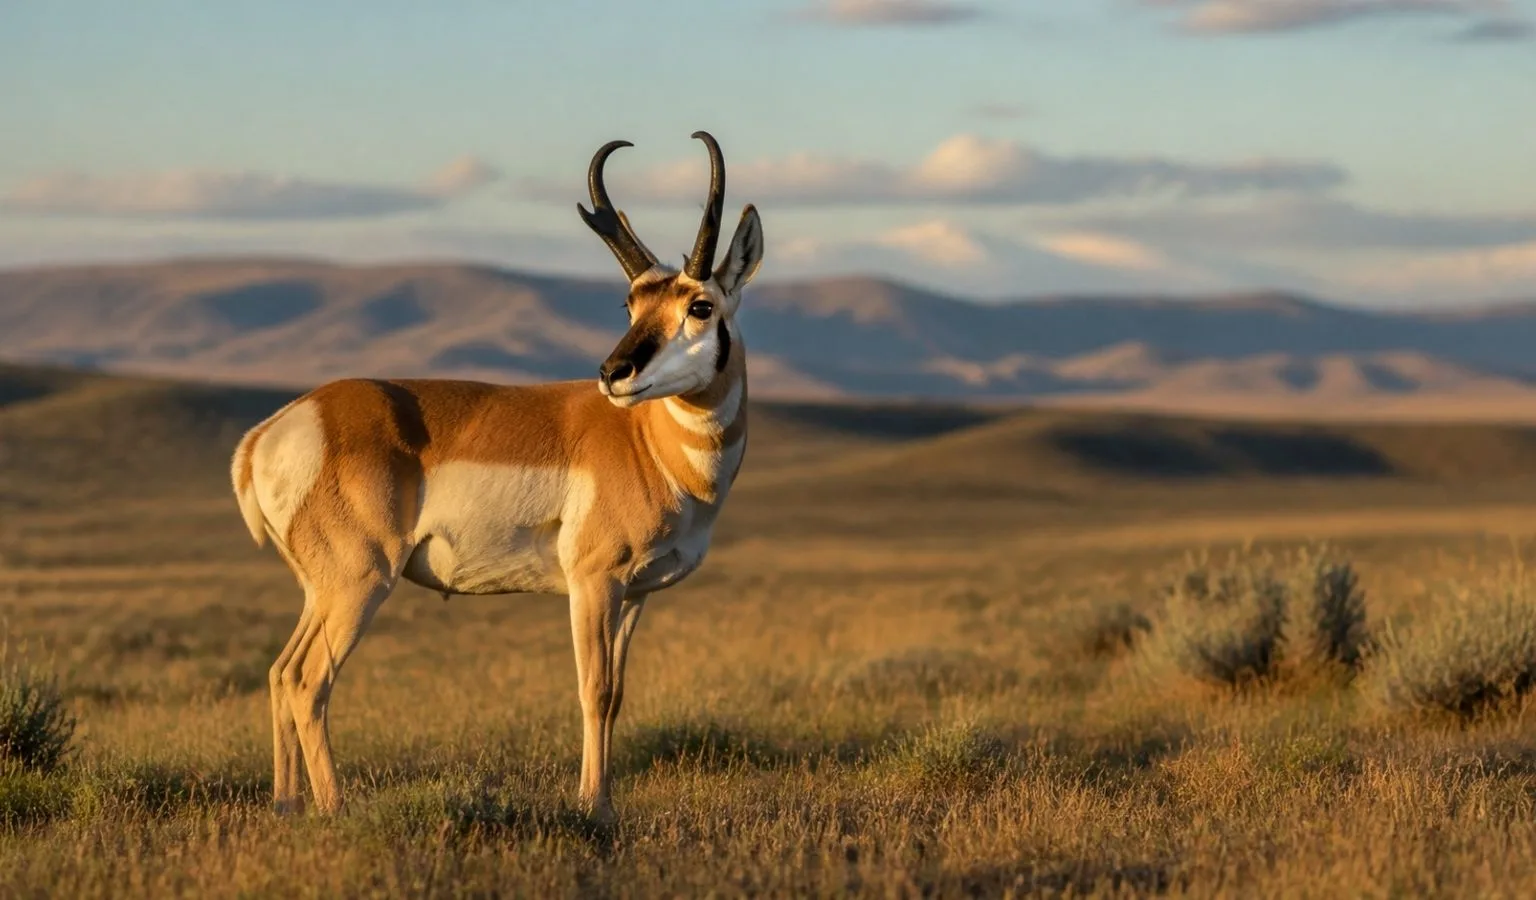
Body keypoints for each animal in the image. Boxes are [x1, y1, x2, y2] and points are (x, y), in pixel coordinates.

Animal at [230, 131, 764, 822]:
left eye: (700, 305)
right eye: (631, 303)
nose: (613, 373)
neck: (648, 443)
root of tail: (276, 429)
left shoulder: (636, 595)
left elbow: (618, 693)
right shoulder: (594, 583)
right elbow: (594, 690)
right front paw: (593, 807)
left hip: (319, 591)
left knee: (278, 671)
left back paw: (287, 807)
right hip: (359, 583)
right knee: (306, 679)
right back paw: (335, 809)